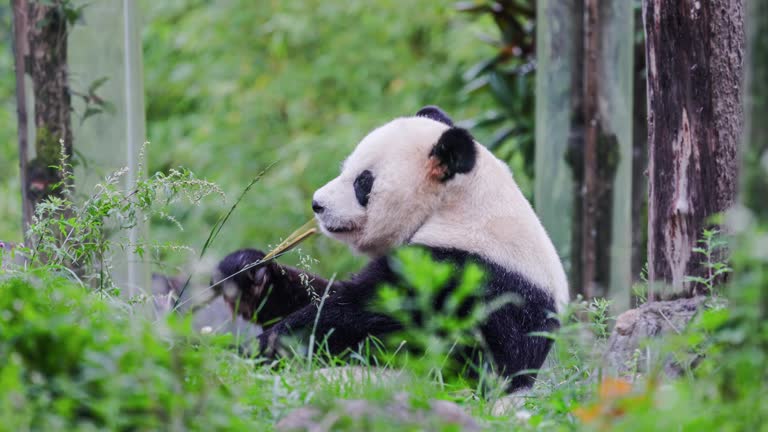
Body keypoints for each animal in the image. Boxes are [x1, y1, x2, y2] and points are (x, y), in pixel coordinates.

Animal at [213, 105, 568, 392]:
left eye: (363, 182)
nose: (317, 204)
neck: (457, 208)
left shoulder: (467, 278)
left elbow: (355, 320)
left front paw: (253, 352)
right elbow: (322, 293)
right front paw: (248, 272)